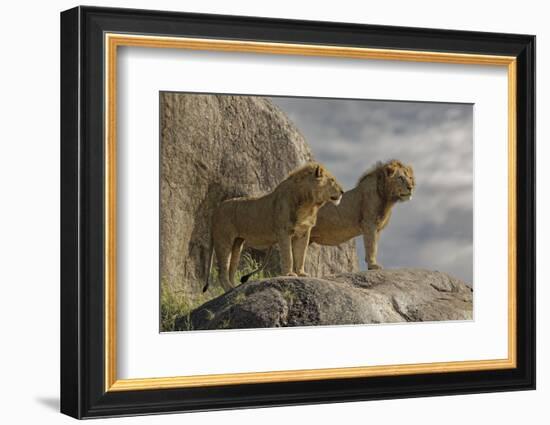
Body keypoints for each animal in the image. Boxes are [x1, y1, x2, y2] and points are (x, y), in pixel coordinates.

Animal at [203, 162, 344, 292]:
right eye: (332, 180)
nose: (342, 192)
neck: (310, 205)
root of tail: (215, 210)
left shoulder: (303, 233)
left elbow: (301, 254)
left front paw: (302, 273)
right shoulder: (284, 232)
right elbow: (288, 255)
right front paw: (289, 274)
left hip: (237, 243)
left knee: (231, 268)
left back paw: (235, 287)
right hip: (224, 240)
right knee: (222, 270)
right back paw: (229, 288)